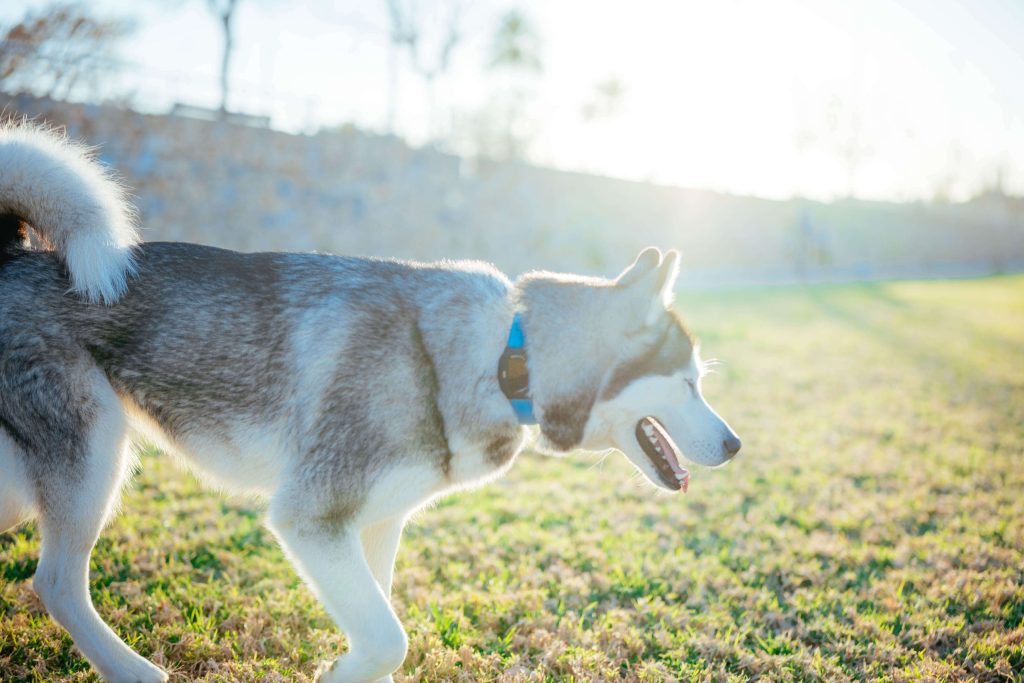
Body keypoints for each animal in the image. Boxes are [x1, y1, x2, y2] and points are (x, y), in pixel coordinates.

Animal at [0, 124, 737, 683]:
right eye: (689, 381)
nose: (735, 445)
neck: (505, 355)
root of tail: (14, 255)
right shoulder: (311, 518)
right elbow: (389, 640)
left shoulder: (374, 525)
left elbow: (383, 629)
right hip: (93, 459)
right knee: (57, 584)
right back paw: (134, 670)